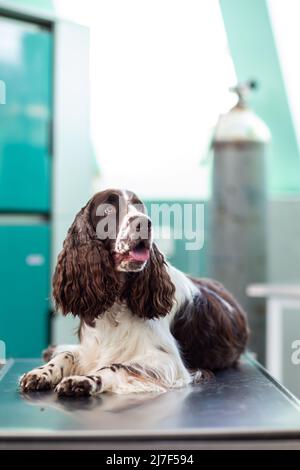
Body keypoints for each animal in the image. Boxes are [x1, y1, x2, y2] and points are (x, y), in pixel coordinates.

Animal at [19, 187, 248, 396]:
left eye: (140, 207)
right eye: (108, 209)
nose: (145, 223)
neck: (116, 301)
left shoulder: (169, 362)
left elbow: (116, 365)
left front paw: (84, 380)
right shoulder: (90, 348)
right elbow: (67, 355)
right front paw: (41, 372)